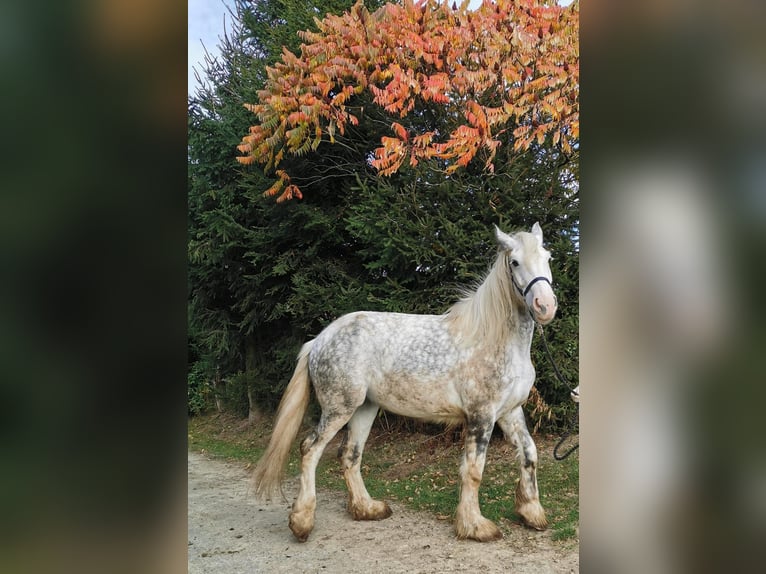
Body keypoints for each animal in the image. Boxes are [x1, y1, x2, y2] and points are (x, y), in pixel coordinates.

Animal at [252, 222, 558, 542]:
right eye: (515, 262)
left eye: (548, 257)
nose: (545, 306)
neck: (493, 339)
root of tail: (319, 340)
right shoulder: (481, 415)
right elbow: (474, 470)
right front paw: (475, 526)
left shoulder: (510, 412)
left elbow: (529, 454)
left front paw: (531, 512)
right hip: (339, 408)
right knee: (310, 449)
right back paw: (302, 522)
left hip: (364, 408)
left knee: (349, 454)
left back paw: (367, 509)